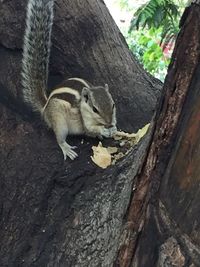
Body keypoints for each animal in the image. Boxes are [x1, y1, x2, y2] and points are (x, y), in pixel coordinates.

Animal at [21, 0, 116, 161]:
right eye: (95, 109)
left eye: (113, 105)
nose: (109, 124)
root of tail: (45, 106)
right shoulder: (85, 121)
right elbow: (89, 130)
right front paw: (102, 131)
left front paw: (113, 128)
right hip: (58, 120)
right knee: (59, 137)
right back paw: (66, 148)